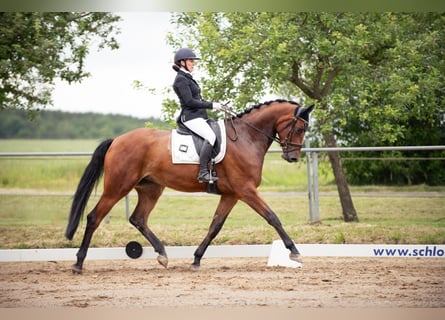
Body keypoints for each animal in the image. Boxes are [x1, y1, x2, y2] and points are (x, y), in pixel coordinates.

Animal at [65, 98, 312, 272]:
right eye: (300, 129)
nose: (292, 158)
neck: (246, 137)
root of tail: (116, 140)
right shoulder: (246, 191)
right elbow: (272, 217)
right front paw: (294, 252)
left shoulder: (231, 194)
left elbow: (215, 226)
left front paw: (196, 259)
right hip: (118, 187)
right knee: (94, 217)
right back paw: (78, 263)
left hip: (151, 188)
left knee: (138, 218)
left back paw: (163, 255)